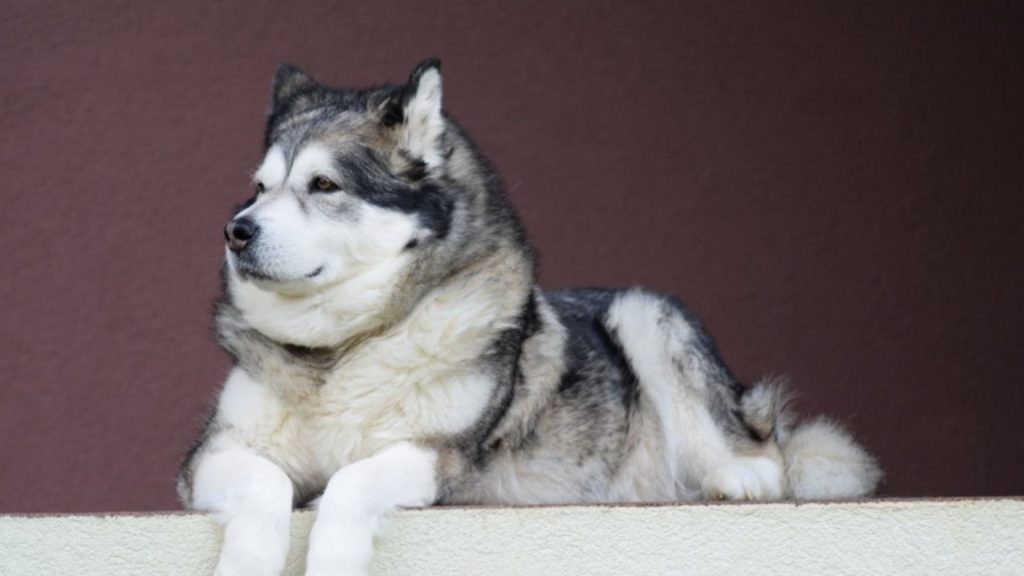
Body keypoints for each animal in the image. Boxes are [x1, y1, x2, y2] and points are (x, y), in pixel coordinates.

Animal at [178, 58, 880, 573]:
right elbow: (266, 485)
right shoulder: (210, 455)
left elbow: (350, 482)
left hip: (645, 313)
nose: (235, 231)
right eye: (261, 188)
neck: (345, 348)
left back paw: (736, 478)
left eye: (324, 186)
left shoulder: (439, 456)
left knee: (766, 454)